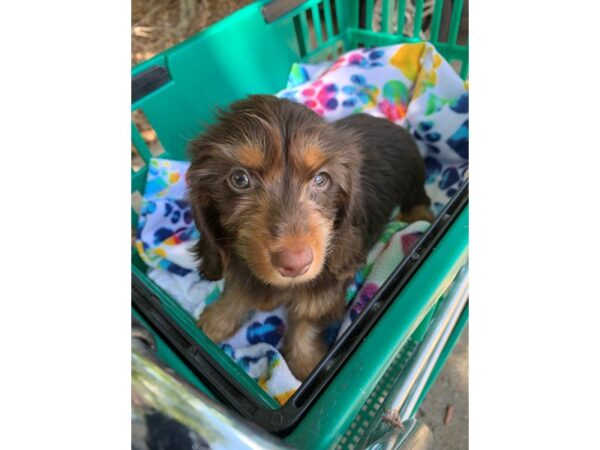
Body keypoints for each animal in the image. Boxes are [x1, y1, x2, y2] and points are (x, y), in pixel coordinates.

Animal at [188, 95, 432, 380]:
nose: (296, 263)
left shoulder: (327, 279)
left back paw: (419, 218)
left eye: (321, 179)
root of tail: (391, 123)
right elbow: (237, 289)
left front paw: (305, 365)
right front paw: (217, 319)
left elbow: (309, 317)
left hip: (414, 177)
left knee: (420, 199)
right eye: (239, 179)